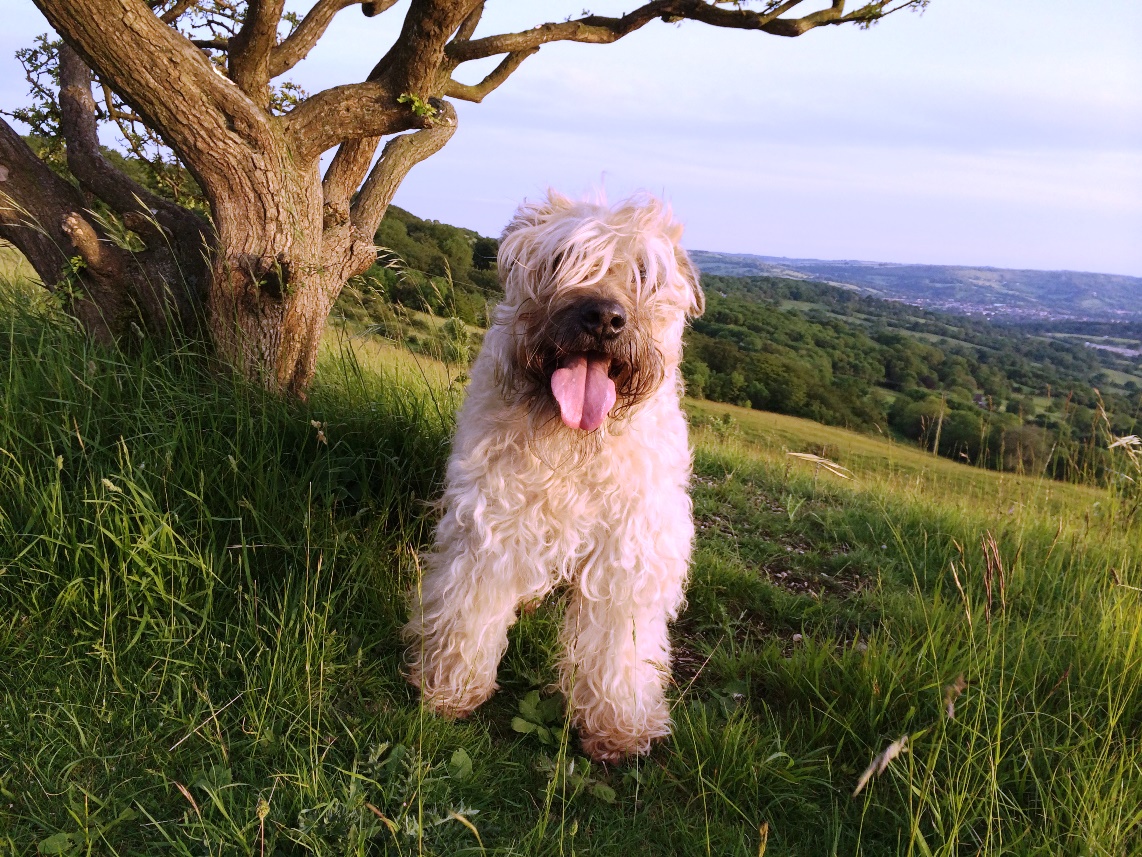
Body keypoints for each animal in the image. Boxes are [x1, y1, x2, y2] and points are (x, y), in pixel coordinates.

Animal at [401, 189, 703, 763]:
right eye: (563, 259)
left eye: (643, 273)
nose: (604, 317)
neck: (574, 447)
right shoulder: (492, 526)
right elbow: (468, 613)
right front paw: (450, 688)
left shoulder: (628, 554)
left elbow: (620, 649)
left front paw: (619, 725)